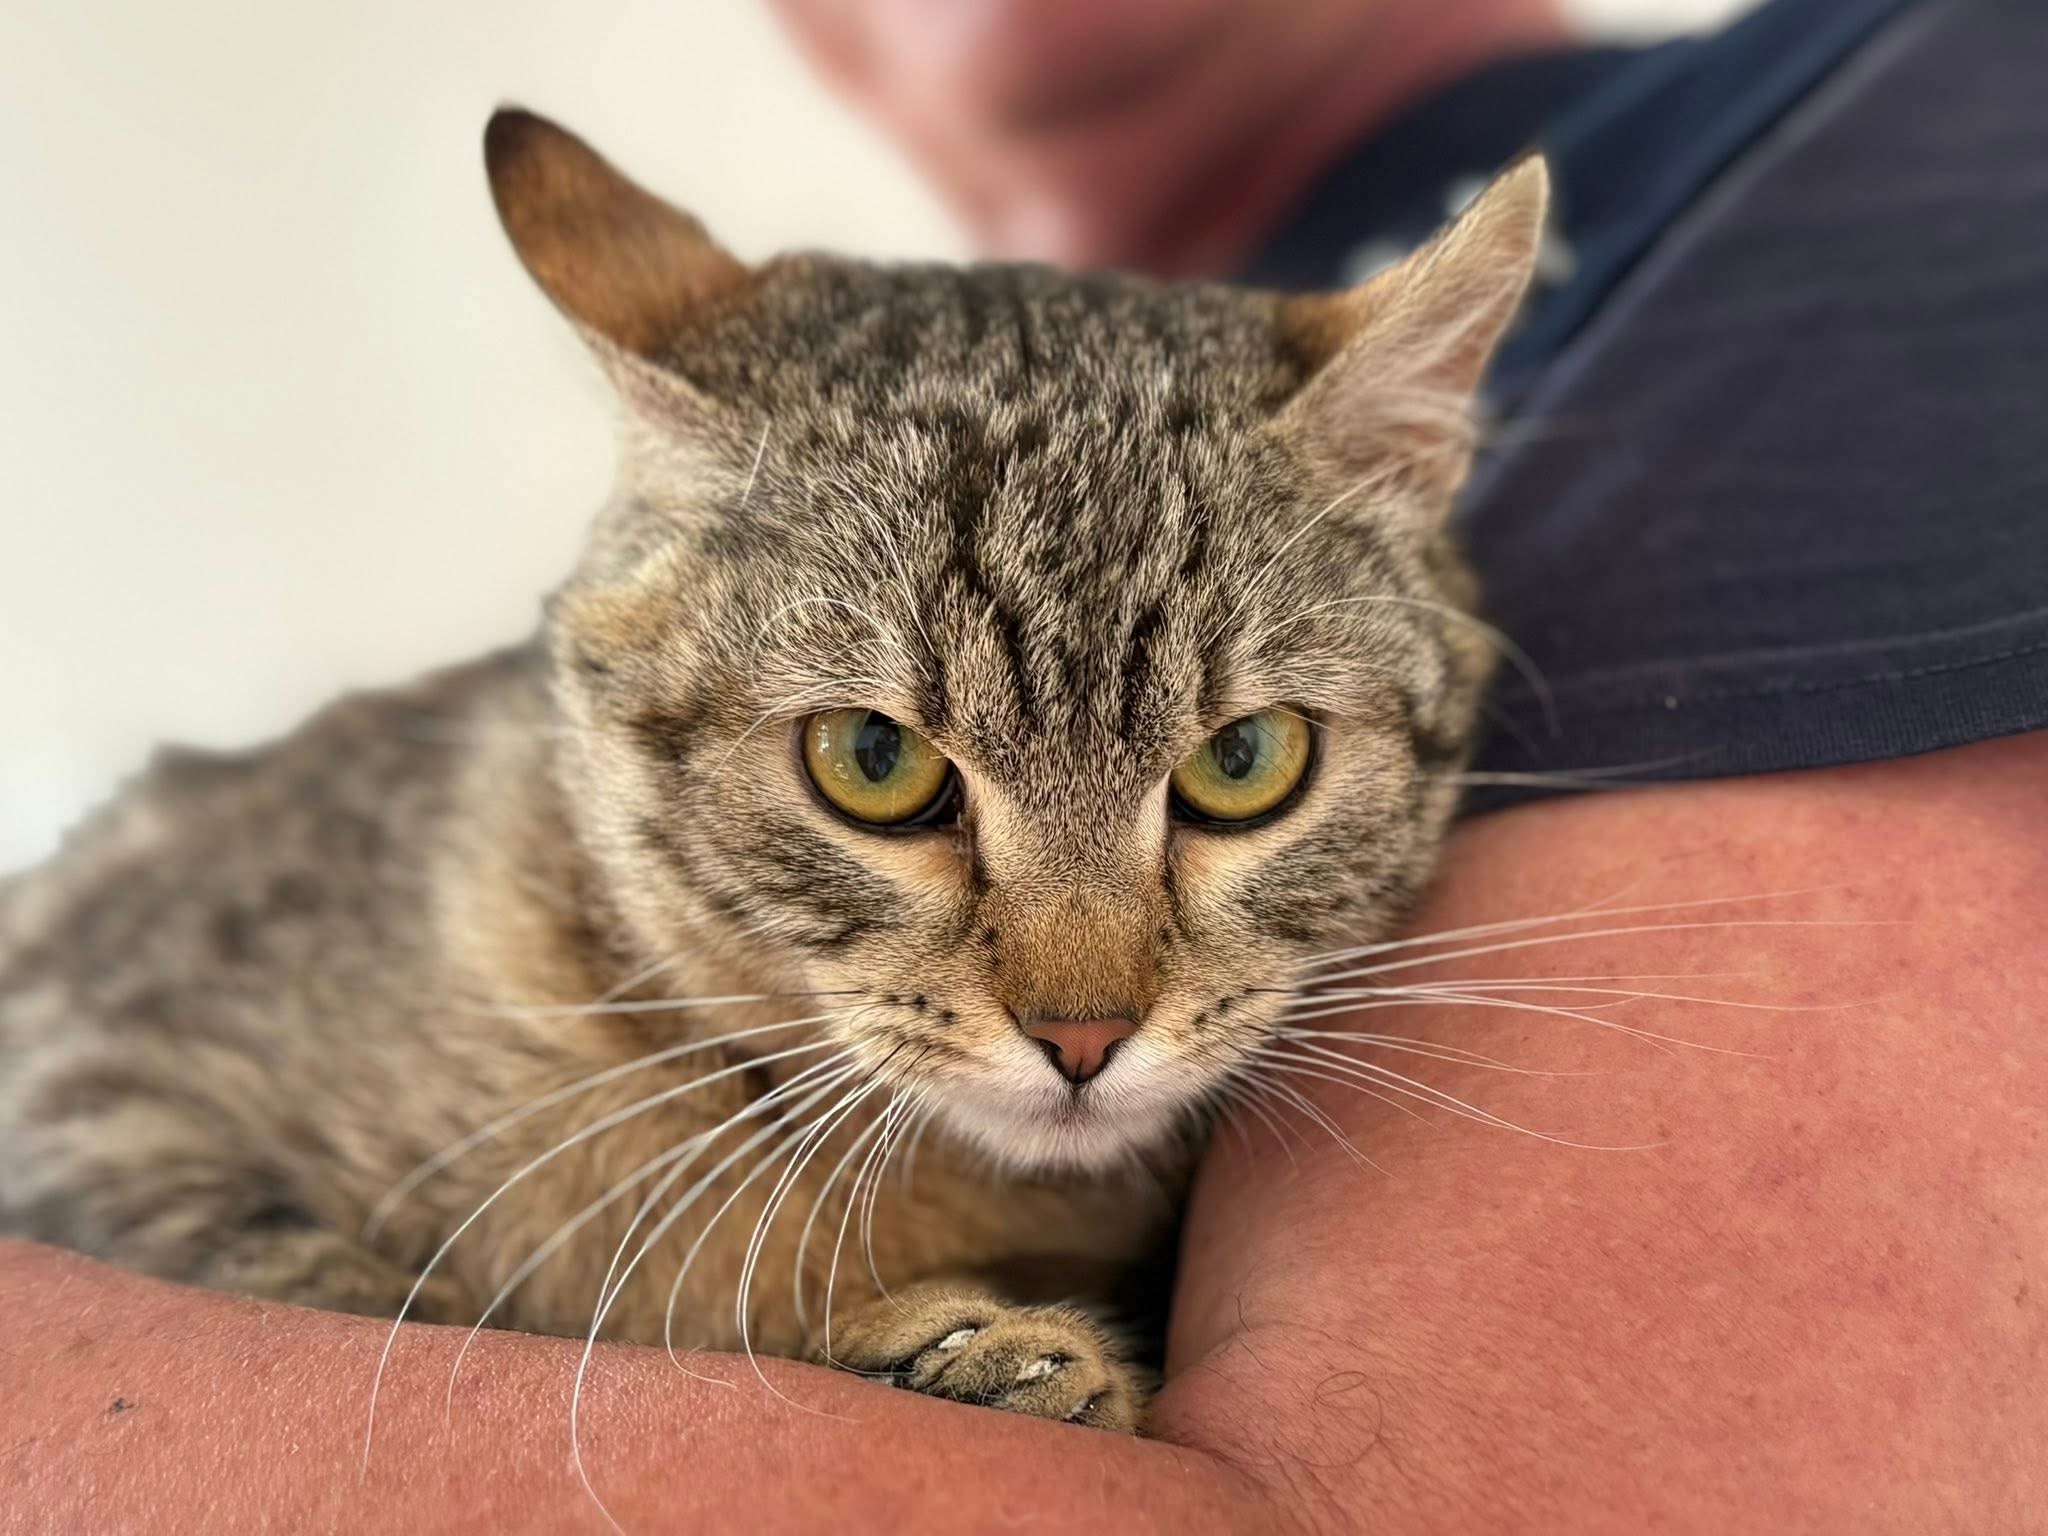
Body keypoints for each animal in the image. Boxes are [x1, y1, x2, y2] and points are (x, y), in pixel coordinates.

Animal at [0, 108, 1546, 1432]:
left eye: (1242, 759)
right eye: (872, 759)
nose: (1084, 1037)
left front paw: (997, 1355)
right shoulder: (84, 1081)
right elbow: (360, 1287)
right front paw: (949, 1345)